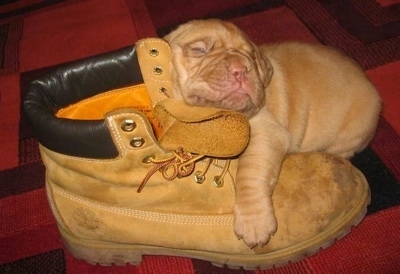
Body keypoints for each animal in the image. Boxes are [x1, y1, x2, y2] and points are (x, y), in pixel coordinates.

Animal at [163, 18, 382, 247]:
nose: (241, 68)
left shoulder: (265, 132)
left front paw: (254, 222)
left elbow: (250, 172)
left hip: (353, 131)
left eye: (250, 55)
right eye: (199, 50)